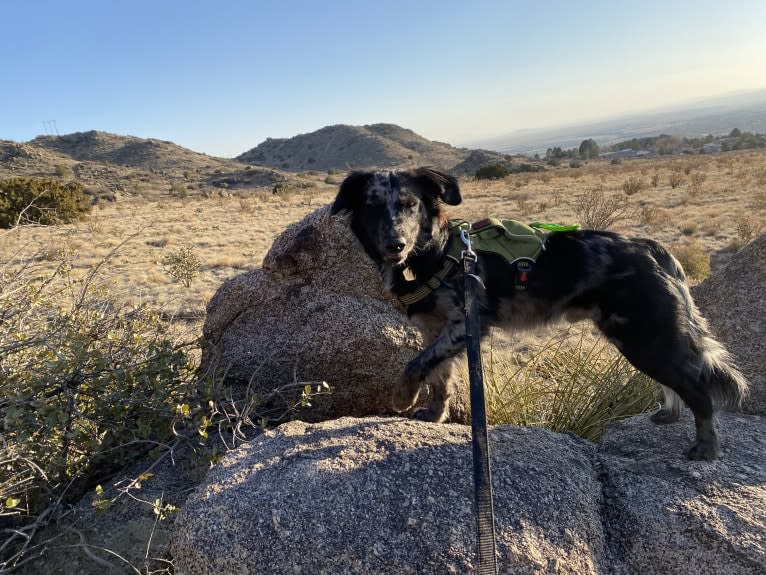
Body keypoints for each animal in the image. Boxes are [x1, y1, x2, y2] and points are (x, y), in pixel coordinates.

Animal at [332, 169, 752, 462]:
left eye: (410, 205)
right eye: (373, 206)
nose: (395, 244)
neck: (433, 254)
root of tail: (649, 247)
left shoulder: (465, 323)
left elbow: (415, 365)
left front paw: (402, 397)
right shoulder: (435, 330)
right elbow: (438, 376)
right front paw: (434, 414)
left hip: (644, 338)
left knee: (698, 389)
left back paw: (706, 448)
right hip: (644, 339)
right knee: (678, 382)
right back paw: (669, 415)